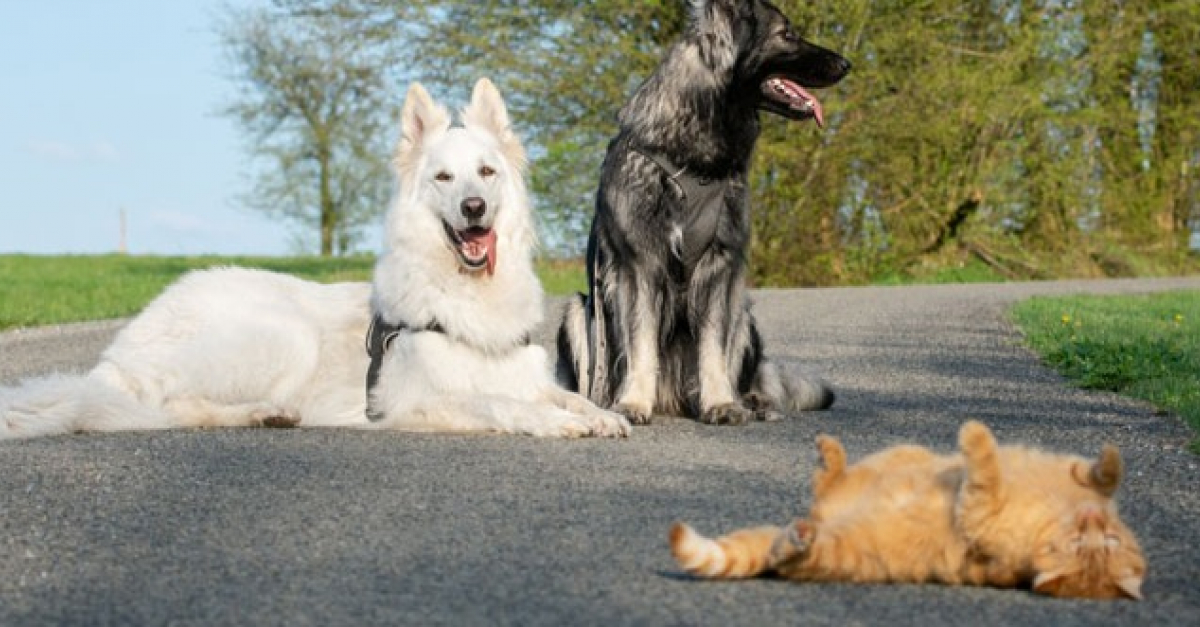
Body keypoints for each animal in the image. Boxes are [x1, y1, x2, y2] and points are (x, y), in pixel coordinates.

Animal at [0, 79, 633, 439]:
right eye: (444, 179)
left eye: (486, 172)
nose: (473, 208)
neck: (465, 294)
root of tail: (113, 358)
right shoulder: (419, 401)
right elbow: (501, 405)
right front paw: (558, 423)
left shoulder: (521, 373)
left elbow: (563, 392)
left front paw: (599, 414)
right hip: (284, 336)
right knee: (172, 407)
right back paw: (257, 413)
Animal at [556, 0, 849, 425]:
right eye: (787, 34)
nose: (847, 64)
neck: (692, 160)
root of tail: (673, 399)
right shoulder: (639, 266)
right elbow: (641, 341)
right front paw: (633, 403)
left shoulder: (718, 265)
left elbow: (712, 347)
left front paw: (721, 403)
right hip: (579, 312)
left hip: (742, 311)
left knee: (746, 372)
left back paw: (752, 402)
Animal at [672, 418, 1147, 598]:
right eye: (1104, 539)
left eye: (1093, 546)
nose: (1091, 521)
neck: (1056, 513)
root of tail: (821, 520)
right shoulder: (1081, 482)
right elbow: (1105, 473)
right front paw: (1105, 460)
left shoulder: (981, 516)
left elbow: (985, 469)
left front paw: (975, 434)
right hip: (898, 454)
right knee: (828, 483)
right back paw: (829, 455)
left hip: (837, 552)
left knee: (786, 553)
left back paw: (798, 538)